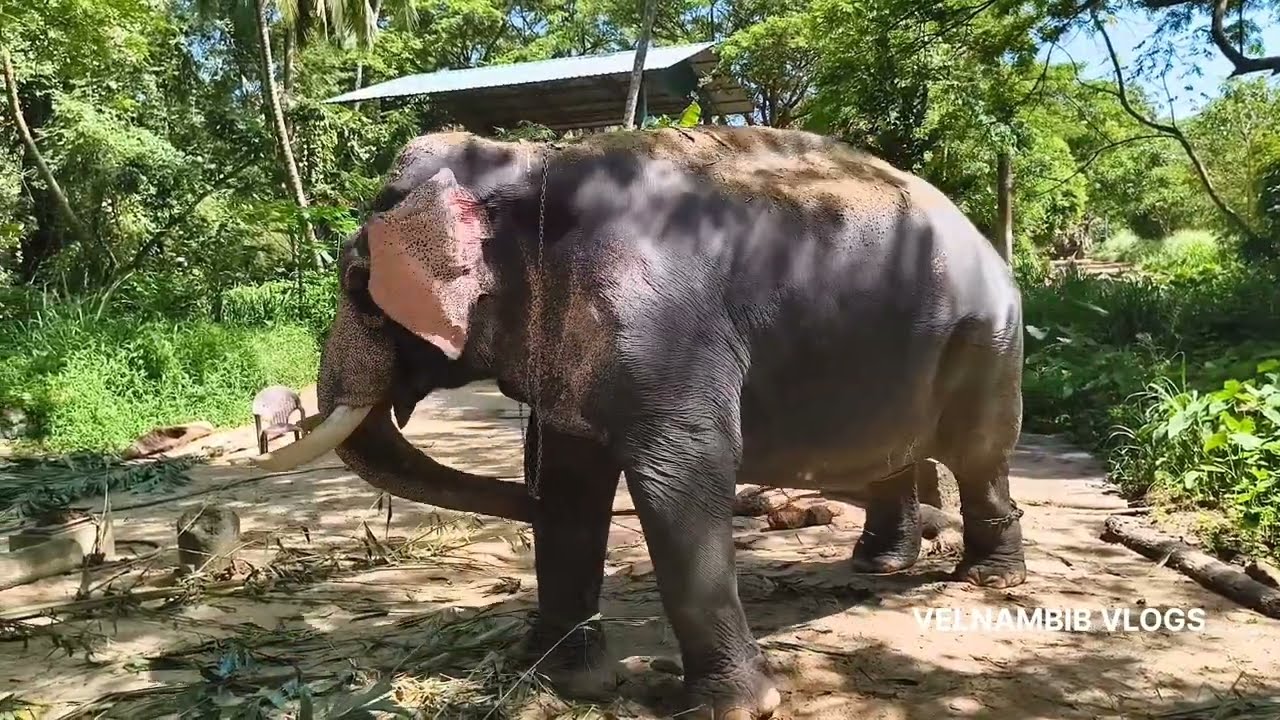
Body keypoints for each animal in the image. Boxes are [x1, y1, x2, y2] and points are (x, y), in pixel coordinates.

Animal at [249, 126, 1027, 719]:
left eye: (357, 284)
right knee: (897, 451)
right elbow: (568, 482)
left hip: (988, 340)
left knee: (979, 452)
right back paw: (881, 562)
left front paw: (736, 709)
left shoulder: (662, 320)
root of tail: (986, 240)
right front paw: (562, 677)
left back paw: (988, 580)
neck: (528, 162)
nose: (273, 421)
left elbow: (682, 475)